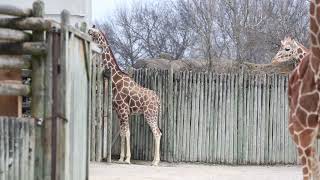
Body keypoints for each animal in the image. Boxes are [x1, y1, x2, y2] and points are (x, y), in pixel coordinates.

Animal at [88, 26, 161, 165]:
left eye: (92, 32)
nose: (88, 33)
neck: (115, 79)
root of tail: (158, 100)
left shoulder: (123, 109)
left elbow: (127, 132)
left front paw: (127, 159)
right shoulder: (119, 111)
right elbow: (122, 133)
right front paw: (121, 158)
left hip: (150, 114)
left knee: (157, 133)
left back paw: (155, 162)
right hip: (152, 114)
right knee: (158, 132)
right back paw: (154, 160)